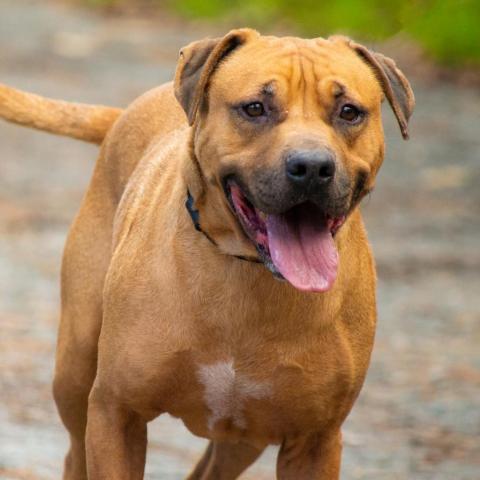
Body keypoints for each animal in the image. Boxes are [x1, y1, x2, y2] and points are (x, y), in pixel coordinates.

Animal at [0, 28, 412, 478]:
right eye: (255, 108)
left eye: (349, 112)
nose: (313, 167)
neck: (247, 271)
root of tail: (126, 111)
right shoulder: (116, 412)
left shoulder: (314, 441)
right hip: (76, 368)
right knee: (75, 447)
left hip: (247, 436)